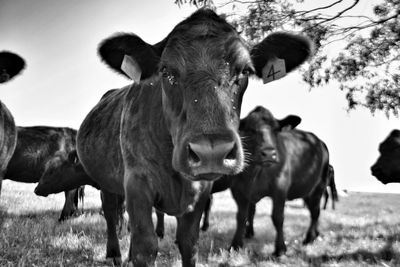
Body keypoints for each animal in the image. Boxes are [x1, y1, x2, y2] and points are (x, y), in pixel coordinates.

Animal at [78, 8, 314, 266]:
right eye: (165, 71)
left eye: (245, 71)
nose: (212, 152)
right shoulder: (136, 183)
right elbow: (145, 245)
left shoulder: (201, 191)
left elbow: (189, 242)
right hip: (106, 181)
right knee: (111, 214)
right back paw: (114, 253)